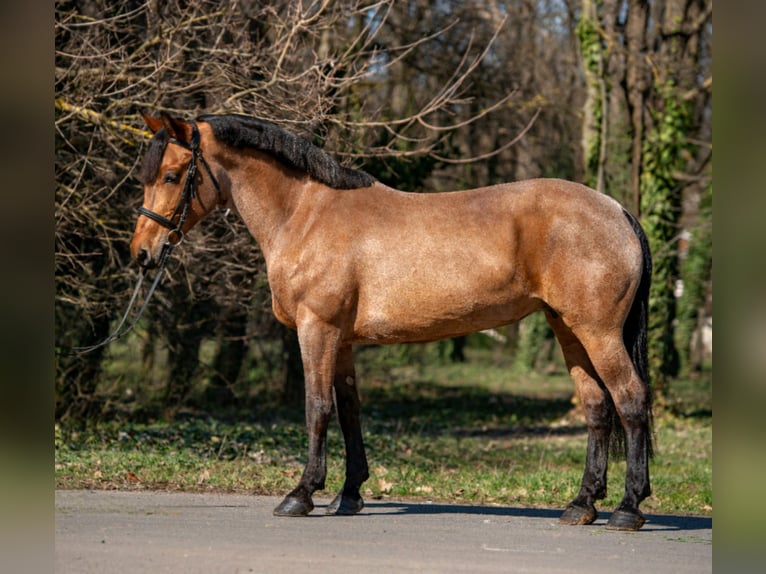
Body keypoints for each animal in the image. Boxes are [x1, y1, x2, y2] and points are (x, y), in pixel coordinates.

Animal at [131, 111, 654, 531]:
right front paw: (349, 495)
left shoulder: (317, 329)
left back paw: (628, 507)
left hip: (598, 333)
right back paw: (582, 504)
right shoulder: (341, 340)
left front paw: (301, 494)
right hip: (569, 331)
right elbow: (349, 411)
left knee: (630, 400)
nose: (142, 253)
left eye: (173, 175)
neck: (304, 214)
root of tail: (617, 210)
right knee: (597, 408)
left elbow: (316, 409)